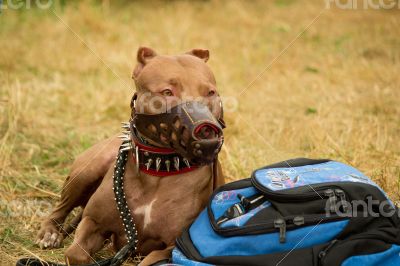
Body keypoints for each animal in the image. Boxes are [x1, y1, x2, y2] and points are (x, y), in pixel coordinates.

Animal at [36, 46, 225, 264]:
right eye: (167, 92)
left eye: (210, 93)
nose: (206, 130)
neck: (159, 170)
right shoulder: (93, 223)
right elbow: (75, 253)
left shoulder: (171, 248)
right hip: (86, 171)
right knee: (60, 208)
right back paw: (49, 233)